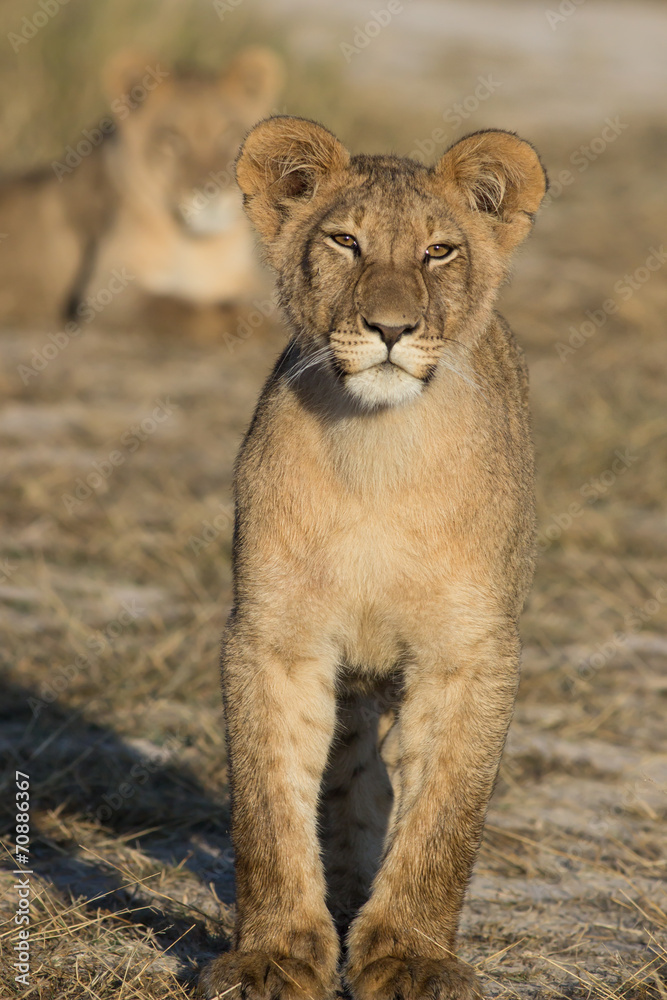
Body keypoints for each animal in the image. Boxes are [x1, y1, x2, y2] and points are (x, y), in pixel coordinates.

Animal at [0, 47, 283, 330]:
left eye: (228, 135)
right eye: (172, 138)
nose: (212, 191)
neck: (195, 246)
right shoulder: (104, 293)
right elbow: (176, 306)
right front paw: (243, 319)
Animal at [200, 117, 547, 1000]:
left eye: (438, 251)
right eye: (345, 242)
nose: (392, 329)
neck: (376, 453)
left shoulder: (468, 652)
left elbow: (442, 820)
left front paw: (410, 958)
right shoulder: (273, 639)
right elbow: (269, 806)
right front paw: (276, 955)